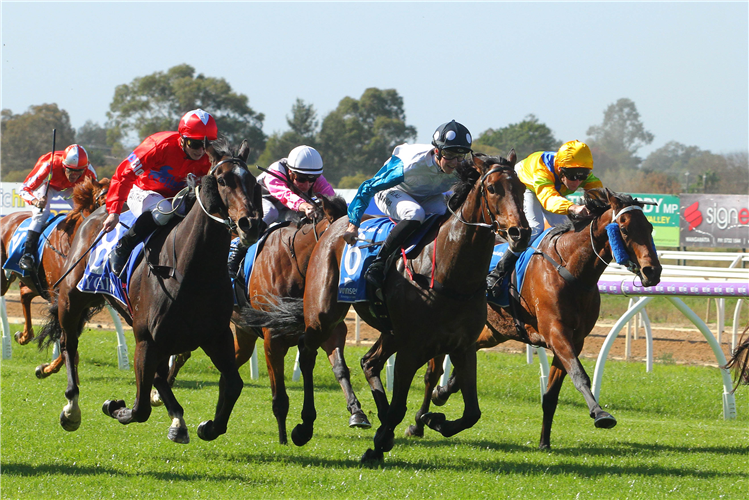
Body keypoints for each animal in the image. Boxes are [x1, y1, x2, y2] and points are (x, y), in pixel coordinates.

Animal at [35, 139, 262, 444]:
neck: (190, 270)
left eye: (253, 182)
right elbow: (140, 408)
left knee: (159, 375)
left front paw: (208, 425)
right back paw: (72, 408)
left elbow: (233, 385)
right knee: (69, 344)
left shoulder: (216, 336)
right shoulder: (146, 340)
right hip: (72, 301)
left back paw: (177, 419)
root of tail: (94, 213)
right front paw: (114, 406)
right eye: (223, 180)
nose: (251, 223)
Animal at [245, 153, 532, 460]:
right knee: (308, 351)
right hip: (323, 314)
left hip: (390, 331)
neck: (450, 273)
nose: (520, 233)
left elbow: (472, 413)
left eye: (522, 189)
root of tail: (337, 222)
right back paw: (305, 426)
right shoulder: (412, 348)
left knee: (369, 362)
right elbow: (400, 407)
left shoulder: (463, 347)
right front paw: (378, 446)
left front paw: (433, 420)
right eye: (492, 188)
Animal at [420, 188, 660, 450]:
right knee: (432, 371)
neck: (571, 270)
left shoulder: (574, 340)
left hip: (493, 331)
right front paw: (600, 413)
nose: (653, 271)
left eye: (649, 227)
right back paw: (418, 422)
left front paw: (544, 441)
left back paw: (442, 394)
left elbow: (551, 395)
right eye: (624, 228)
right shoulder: (556, 332)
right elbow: (579, 375)